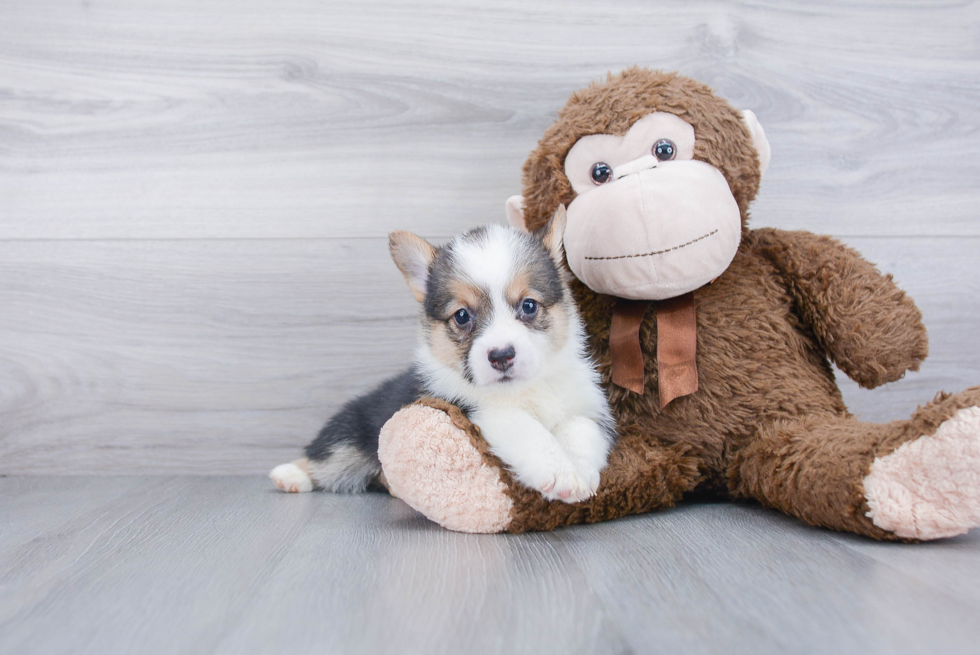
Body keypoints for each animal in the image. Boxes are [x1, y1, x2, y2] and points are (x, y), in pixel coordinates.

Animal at [272, 208, 616, 504]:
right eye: (462, 316)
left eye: (529, 306)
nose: (501, 356)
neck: (523, 390)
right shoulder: (472, 409)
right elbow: (526, 429)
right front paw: (559, 473)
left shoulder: (585, 408)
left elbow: (579, 429)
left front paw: (581, 473)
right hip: (350, 434)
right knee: (324, 458)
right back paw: (289, 474)